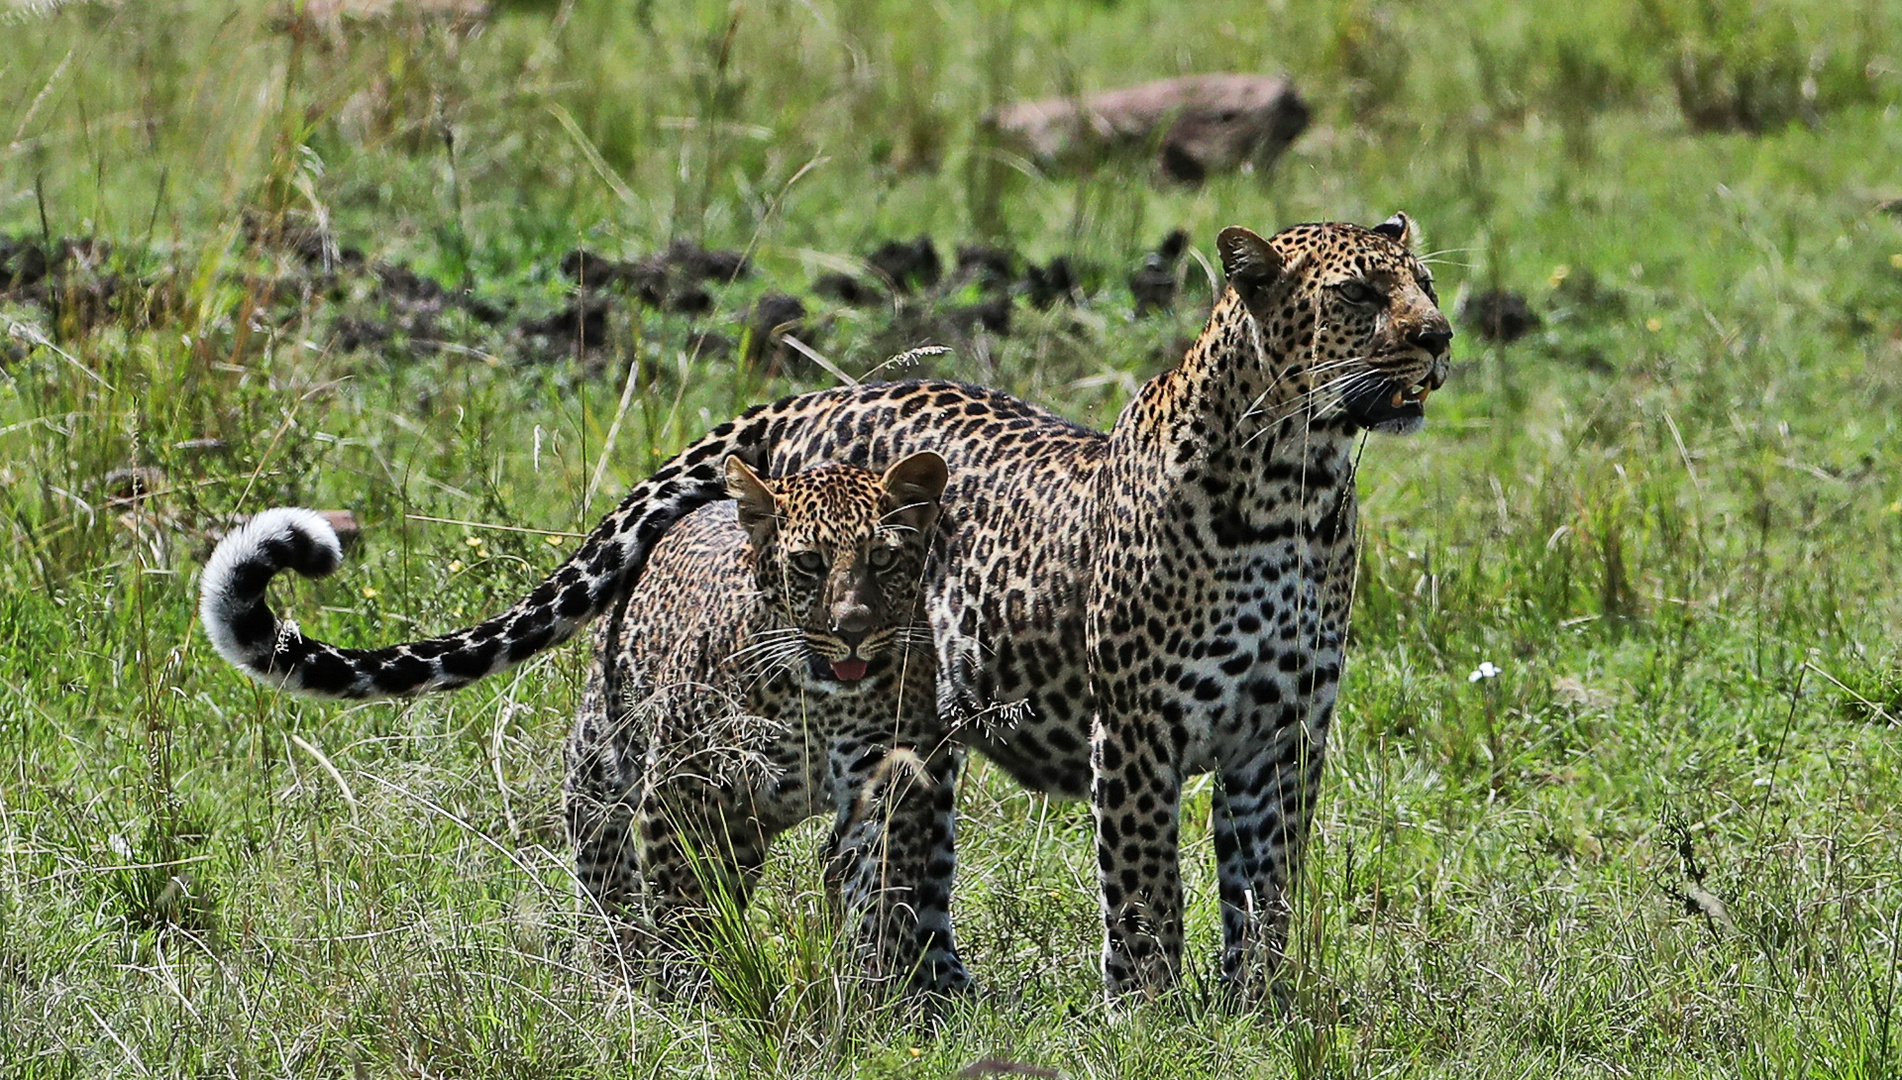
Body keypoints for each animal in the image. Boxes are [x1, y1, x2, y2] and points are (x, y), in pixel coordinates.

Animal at [200, 217, 1445, 1003]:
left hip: (911, 742)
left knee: (899, 876)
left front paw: (1259, 1012)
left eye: (1425, 286)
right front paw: (1152, 1020)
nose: (1438, 337)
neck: (1293, 489)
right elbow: (1145, 893)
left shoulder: (1286, 732)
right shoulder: (1135, 730)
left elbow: (1267, 887)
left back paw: (940, 1006)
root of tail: (804, 401)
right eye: (1357, 296)